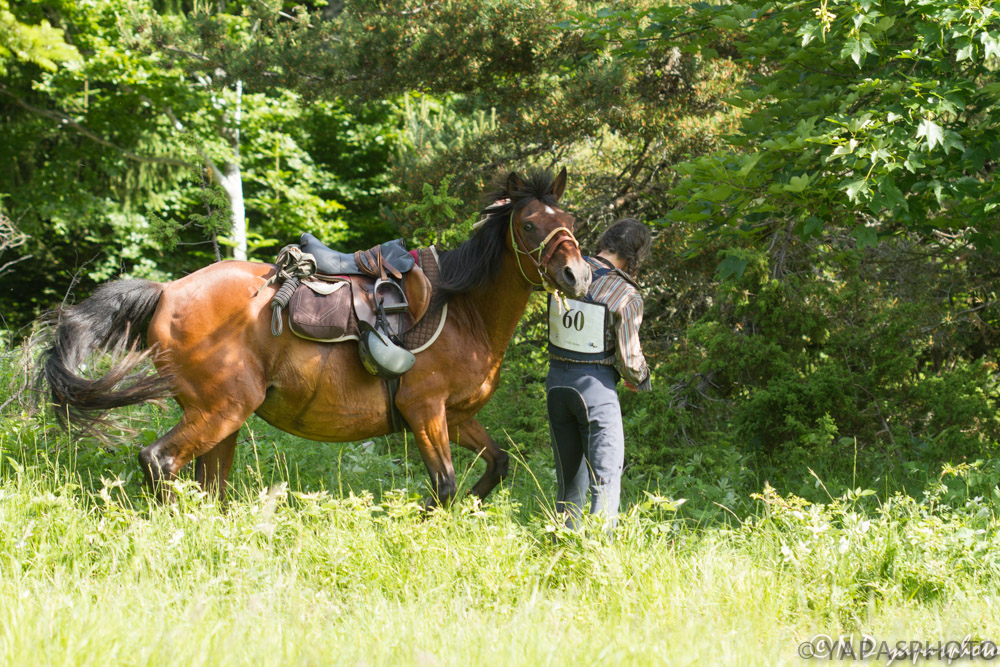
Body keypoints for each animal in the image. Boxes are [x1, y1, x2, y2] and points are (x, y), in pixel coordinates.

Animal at [39, 168, 588, 506]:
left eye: (571, 220)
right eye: (529, 224)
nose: (577, 275)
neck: (463, 310)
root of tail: (167, 291)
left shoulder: (458, 415)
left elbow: (496, 465)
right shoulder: (426, 409)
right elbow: (444, 486)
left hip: (220, 417)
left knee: (208, 486)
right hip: (222, 410)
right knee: (159, 461)